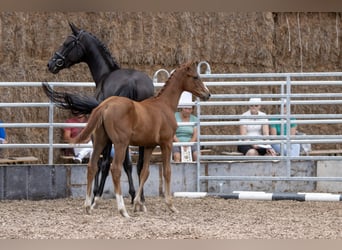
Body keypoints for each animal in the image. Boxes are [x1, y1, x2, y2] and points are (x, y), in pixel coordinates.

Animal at [44, 23, 154, 207]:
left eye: (67, 43)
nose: (51, 64)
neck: (105, 74)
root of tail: (131, 83)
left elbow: (100, 161)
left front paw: (95, 193)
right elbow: (127, 163)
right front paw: (133, 195)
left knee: (106, 163)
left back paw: (98, 197)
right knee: (140, 165)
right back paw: (140, 199)